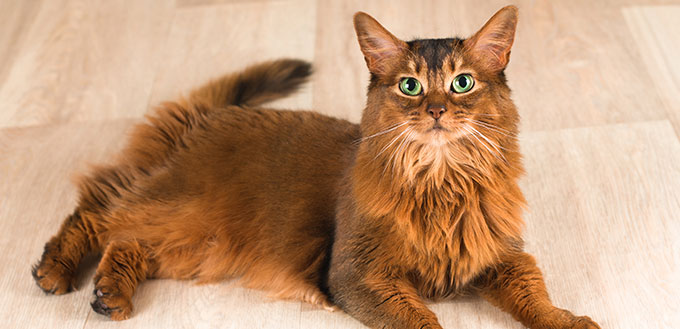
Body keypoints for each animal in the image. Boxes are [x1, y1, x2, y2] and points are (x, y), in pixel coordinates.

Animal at [33, 5, 600, 328]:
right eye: (410, 85)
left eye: (462, 83)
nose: (437, 110)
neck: (440, 183)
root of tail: (211, 115)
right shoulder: (357, 274)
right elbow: (424, 321)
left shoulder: (501, 257)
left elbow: (536, 297)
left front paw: (567, 321)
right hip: (185, 209)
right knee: (99, 213)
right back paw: (56, 271)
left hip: (197, 244)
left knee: (128, 240)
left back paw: (109, 293)